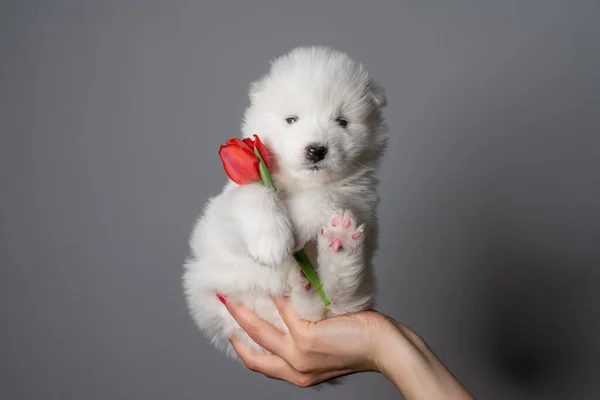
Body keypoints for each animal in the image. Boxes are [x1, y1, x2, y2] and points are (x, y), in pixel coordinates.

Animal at [184, 46, 390, 356]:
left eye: (342, 122)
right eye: (292, 120)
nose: (316, 150)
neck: (299, 183)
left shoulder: (360, 200)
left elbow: (327, 195)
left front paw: (299, 227)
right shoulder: (222, 221)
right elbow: (253, 194)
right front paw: (273, 241)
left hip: (359, 287)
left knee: (336, 303)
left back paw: (339, 247)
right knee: (314, 309)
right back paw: (309, 279)